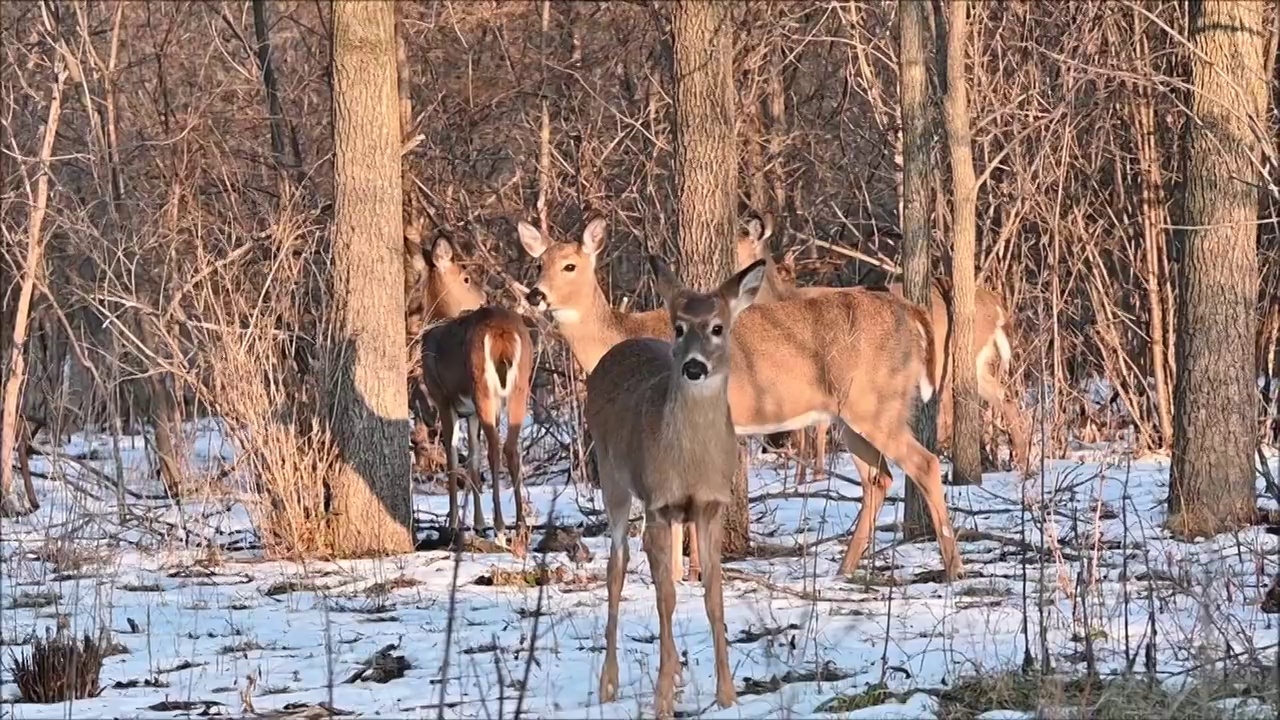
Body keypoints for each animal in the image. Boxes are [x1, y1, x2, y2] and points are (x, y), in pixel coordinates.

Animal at [514, 212, 962, 576]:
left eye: (570, 265)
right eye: (539, 263)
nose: (536, 294)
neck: (621, 333)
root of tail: (913, 315)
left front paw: (683, 573)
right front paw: (694, 571)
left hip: (875, 402)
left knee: (925, 464)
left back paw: (952, 567)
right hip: (853, 415)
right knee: (878, 478)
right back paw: (844, 569)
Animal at [591, 253, 768, 712]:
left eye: (718, 327)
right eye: (679, 327)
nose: (693, 366)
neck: (691, 463)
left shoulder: (710, 506)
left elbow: (713, 594)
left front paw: (727, 695)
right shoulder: (658, 502)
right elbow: (666, 597)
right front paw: (661, 700)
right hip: (612, 477)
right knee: (616, 566)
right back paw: (609, 684)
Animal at [732, 212, 1029, 476]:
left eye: (738, 250)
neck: (782, 298)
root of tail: (996, 306)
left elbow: (816, 427)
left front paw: (813, 477)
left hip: (945, 359)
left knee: (947, 409)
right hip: (975, 363)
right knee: (1004, 396)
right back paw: (1021, 462)